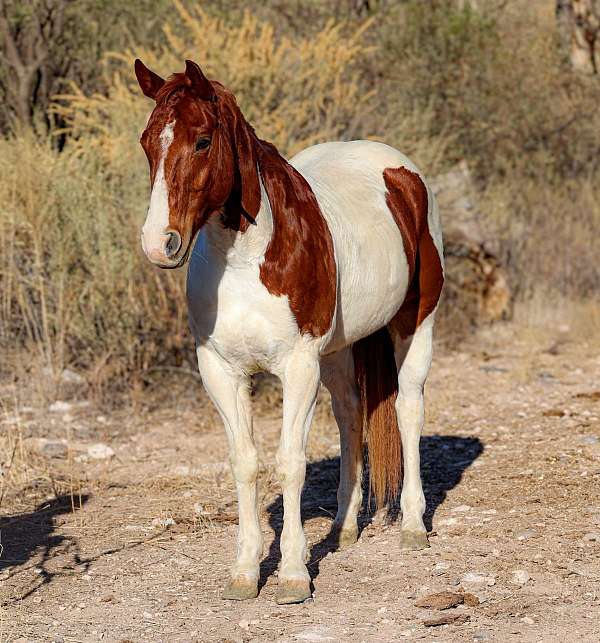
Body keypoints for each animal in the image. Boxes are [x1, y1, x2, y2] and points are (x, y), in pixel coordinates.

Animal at [136, 57, 446, 608]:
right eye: (147, 142)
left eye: (202, 141)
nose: (159, 243)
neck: (245, 259)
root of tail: (400, 172)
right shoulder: (220, 369)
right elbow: (245, 462)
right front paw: (244, 572)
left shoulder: (298, 366)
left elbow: (290, 462)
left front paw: (294, 576)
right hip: (338, 350)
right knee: (350, 416)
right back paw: (343, 528)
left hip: (415, 324)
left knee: (409, 409)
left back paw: (412, 525)